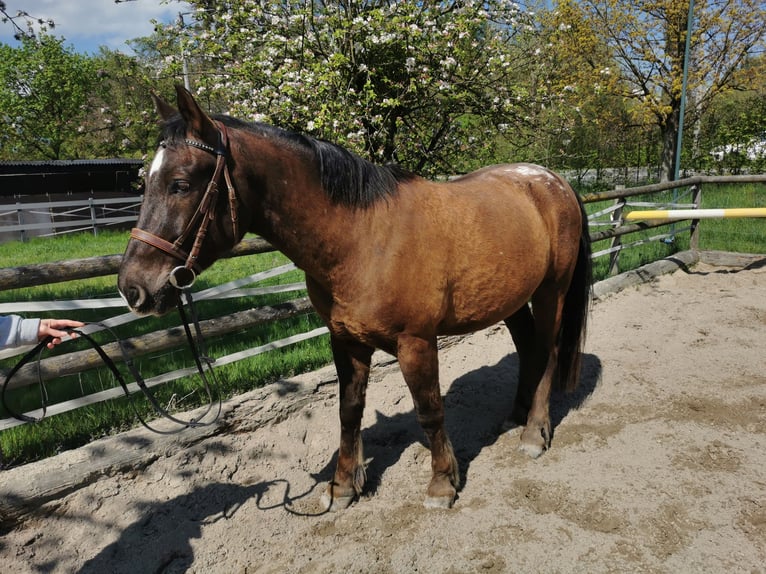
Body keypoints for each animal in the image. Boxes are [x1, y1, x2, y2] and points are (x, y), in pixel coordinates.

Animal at [117, 85, 592, 510]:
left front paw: (442, 483)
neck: (362, 238)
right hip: (512, 300)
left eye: (180, 184)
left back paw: (533, 433)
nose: (132, 287)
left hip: (551, 292)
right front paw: (344, 485)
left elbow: (429, 410)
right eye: (146, 183)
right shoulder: (345, 341)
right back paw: (516, 416)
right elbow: (349, 412)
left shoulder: (416, 343)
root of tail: (552, 181)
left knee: (548, 353)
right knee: (530, 350)